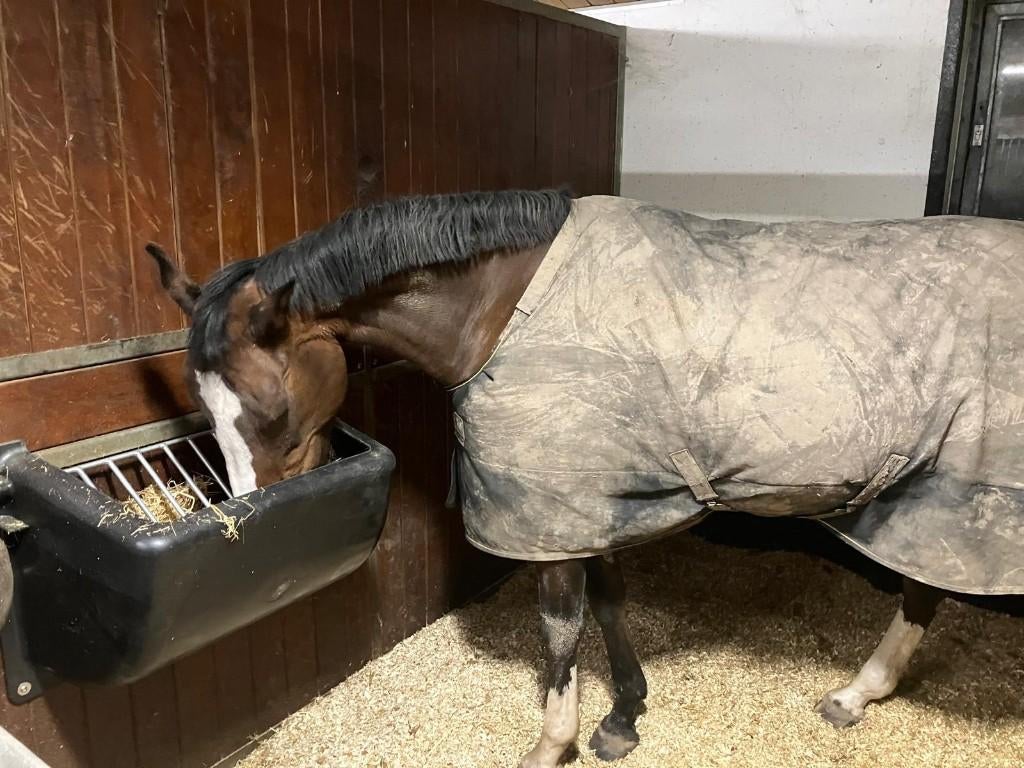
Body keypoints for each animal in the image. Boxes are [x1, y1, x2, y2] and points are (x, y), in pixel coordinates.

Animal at [147, 189, 1024, 767]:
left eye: (269, 409)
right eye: (200, 397)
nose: (250, 515)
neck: (504, 306)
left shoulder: (551, 506)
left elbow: (561, 631)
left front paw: (552, 743)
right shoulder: (582, 496)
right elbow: (607, 602)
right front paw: (623, 716)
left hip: (958, 492)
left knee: (923, 590)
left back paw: (856, 693)